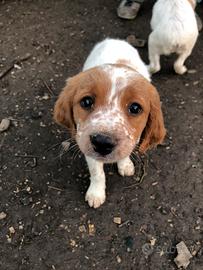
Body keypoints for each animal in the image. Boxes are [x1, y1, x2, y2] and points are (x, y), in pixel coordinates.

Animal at [54, 38, 167, 208]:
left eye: (135, 108)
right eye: (86, 101)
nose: (102, 142)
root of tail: (115, 40)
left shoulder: (132, 138)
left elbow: (125, 152)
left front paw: (125, 165)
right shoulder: (85, 142)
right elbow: (97, 173)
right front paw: (96, 194)